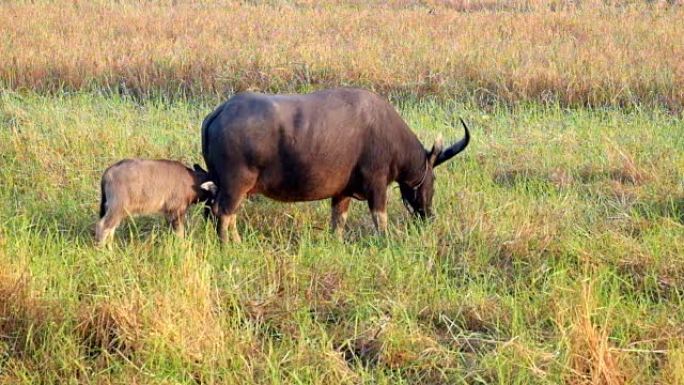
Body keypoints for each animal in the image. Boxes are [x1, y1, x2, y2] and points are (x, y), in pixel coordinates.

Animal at [203, 88, 470, 242]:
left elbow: (338, 221)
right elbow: (380, 218)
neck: (387, 134)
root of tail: (220, 112)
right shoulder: (377, 185)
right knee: (223, 213)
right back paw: (231, 245)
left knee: (223, 213)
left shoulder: (342, 192)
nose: (428, 216)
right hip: (235, 186)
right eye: (433, 180)